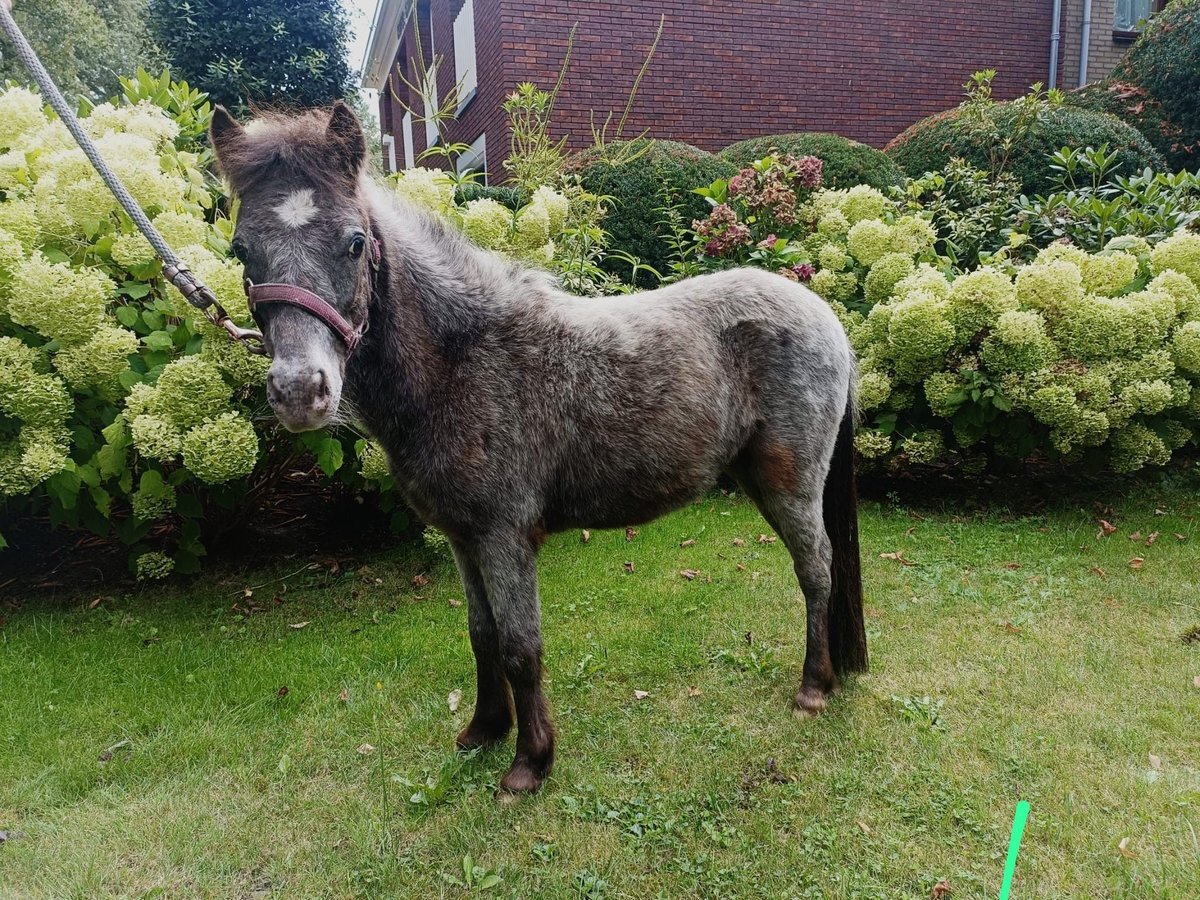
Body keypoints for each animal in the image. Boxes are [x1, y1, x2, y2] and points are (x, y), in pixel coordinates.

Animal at [206, 103, 864, 796]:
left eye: (355, 242)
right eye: (241, 249)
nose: (300, 391)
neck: (463, 361)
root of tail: (825, 316)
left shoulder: (504, 536)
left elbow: (522, 647)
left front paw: (529, 762)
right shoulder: (464, 538)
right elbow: (482, 635)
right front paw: (483, 731)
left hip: (788, 481)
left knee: (817, 568)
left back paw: (814, 686)